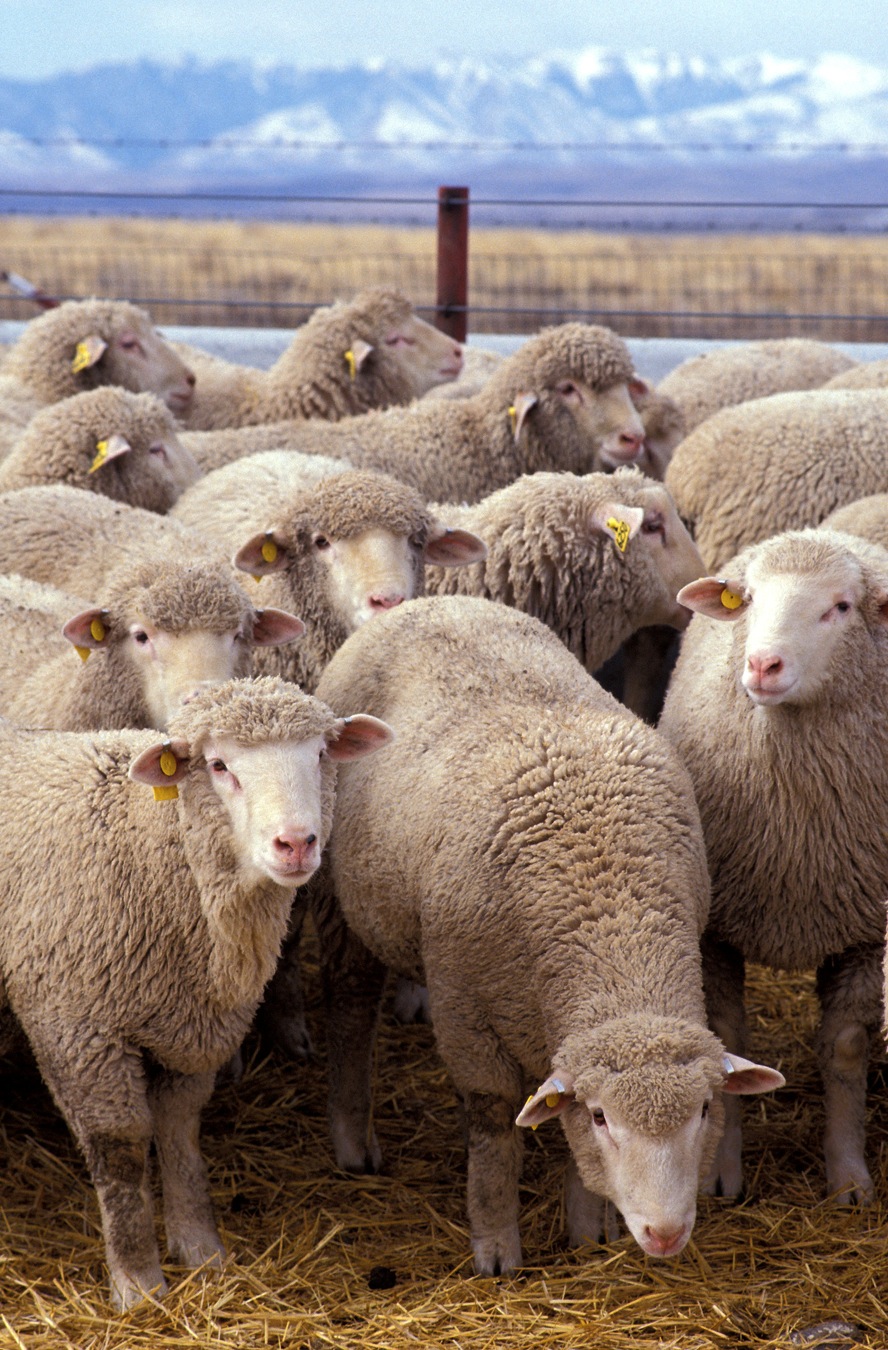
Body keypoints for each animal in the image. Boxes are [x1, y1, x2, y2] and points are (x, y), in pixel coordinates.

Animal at [0, 676, 392, 1308]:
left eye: (321, 755)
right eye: (218, 765)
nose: (296, 844)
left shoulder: (192, 1025)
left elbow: (180, 1134)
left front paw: (201, 1251)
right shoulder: (76, 1026)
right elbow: (121, 1149)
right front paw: (138, 1281)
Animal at [305, 595, 783, 1274]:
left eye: (705, 1109)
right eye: (605, 1117)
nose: (665, 1235)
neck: (613, 924)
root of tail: (432, 601)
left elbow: (564, 1133)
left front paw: (587, 1232)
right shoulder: (467, 1016)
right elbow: (492, 1130)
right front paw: (496, 1246)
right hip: (340, 901)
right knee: (350, 1006)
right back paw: (352, 1139)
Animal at [658, 528, 888, 1206]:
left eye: (841, 607)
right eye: (751, 598)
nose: (763, 666)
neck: (796, 833)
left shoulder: (866, 927)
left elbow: (845, 1049)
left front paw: (849, 1177)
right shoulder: (715, 928)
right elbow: (726, 1039)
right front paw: (718, 1172)